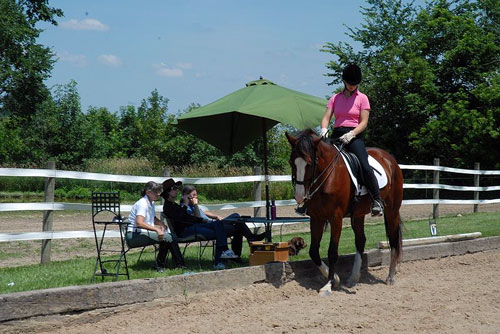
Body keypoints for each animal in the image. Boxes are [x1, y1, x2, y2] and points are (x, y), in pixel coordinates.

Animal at [286, 129, 402, 296]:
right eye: (291, 162)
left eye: (310, 163)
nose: (300, 196)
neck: (328, 175)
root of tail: (389, 159)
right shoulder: (316, 218)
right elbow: (313, 251)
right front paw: (334, 278)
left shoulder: (336, 218)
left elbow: (332, 252)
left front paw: (329, 285)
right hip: (358, 215)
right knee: (360, 240)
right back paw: (353, 278)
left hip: (392, 210)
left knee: (393, 240)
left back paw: (391, 277)